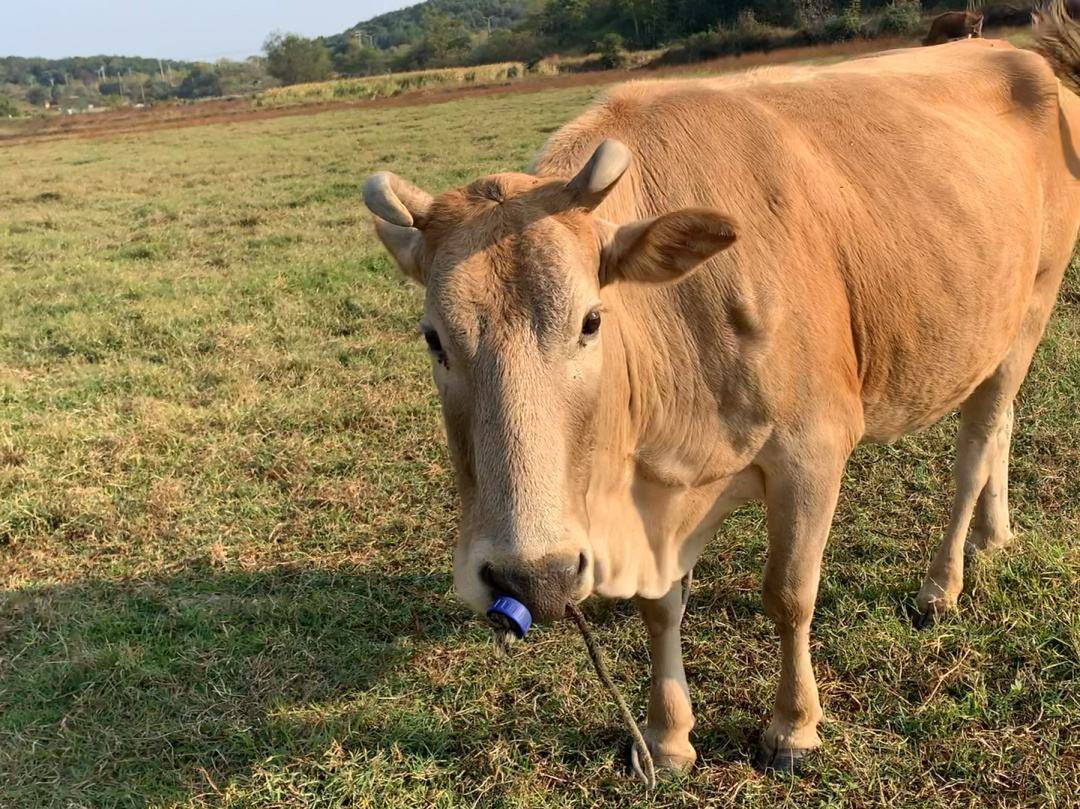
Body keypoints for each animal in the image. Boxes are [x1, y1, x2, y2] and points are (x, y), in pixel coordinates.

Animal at [360, 15, 1080, 777]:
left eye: (591, 320)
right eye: (433, 338)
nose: (534, 576)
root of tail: (1015, 54)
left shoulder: (813, 450)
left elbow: (789, 594)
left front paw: (794, 727)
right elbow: (659, 608)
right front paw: (668, 735)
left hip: (1030, 306)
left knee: (977, 445)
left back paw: (942, 584)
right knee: (1002, 428)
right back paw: (995, 534)